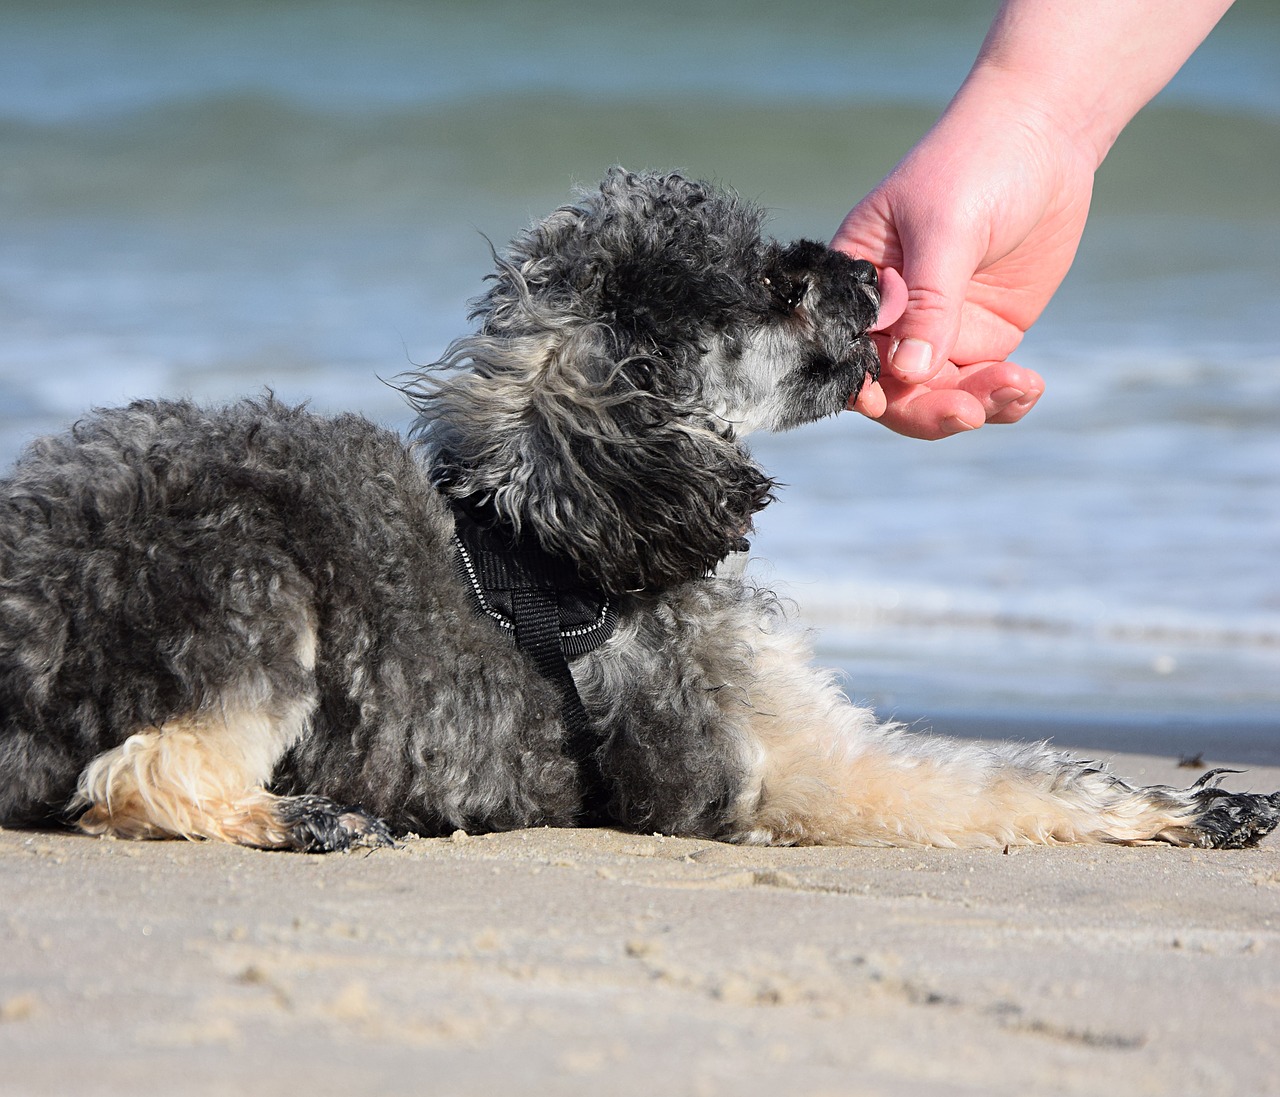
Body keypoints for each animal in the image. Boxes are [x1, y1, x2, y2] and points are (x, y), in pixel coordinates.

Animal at [2, 171, 1280, 849]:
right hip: (249, 582)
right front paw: (1163, 806)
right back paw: (304, 817)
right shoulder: (778, 765)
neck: (574, 526)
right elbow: (981, 782)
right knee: (136, 774)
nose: (871, 271)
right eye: (769, 282)